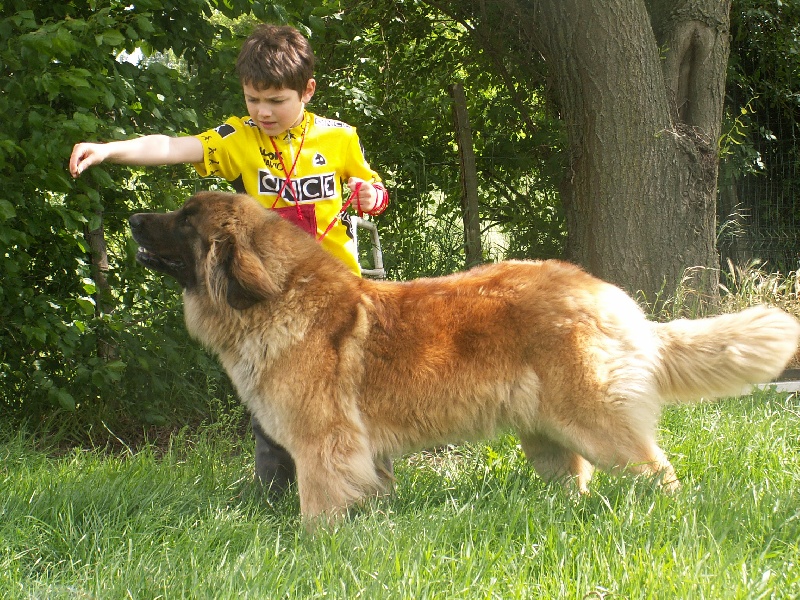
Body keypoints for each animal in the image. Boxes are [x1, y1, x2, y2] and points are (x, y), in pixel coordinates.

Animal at [130, 192, 800, 528]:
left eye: (184, 221)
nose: (134, 217)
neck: (275, 296)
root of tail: (607, 295)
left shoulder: (324, 443)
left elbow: (318, 505)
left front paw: (313, 545)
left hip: (598, 422)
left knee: (657, 471)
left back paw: (665, 515)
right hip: (548, 435)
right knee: (579, 480)